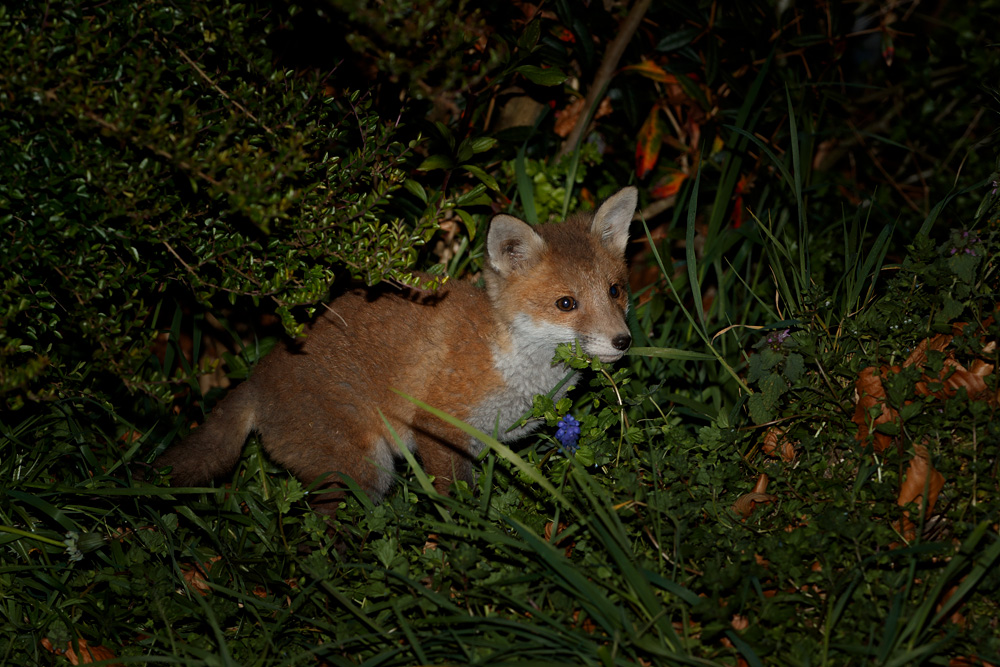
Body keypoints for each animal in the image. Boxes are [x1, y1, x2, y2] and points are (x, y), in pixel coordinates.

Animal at [154, 186, 637, 512]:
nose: (623, 341)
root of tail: (256, 379)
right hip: (366, 470)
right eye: (566, 304)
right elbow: (455, 500)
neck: (507, 358)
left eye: (615, 291)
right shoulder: (436, 425)